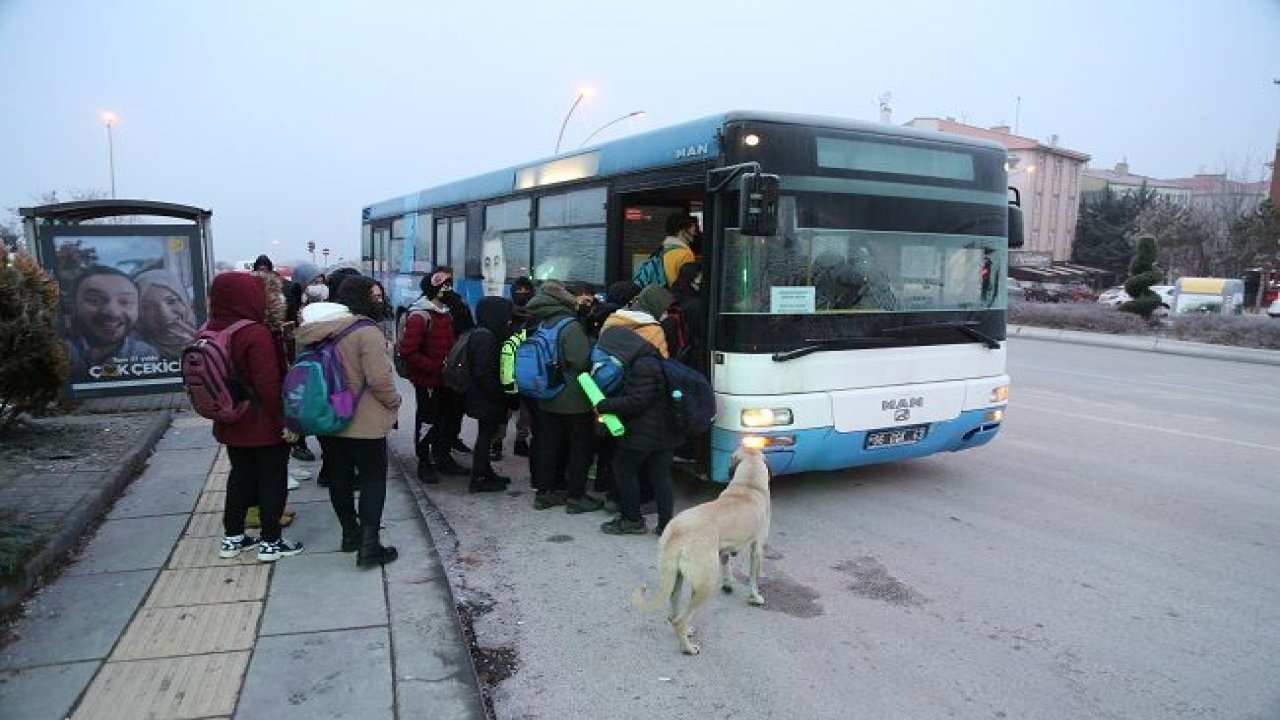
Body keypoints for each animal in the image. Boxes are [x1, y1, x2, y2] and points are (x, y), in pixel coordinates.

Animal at [632, 440, 768, 653]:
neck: (748, 484)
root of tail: (678, 531)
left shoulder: (723, 552)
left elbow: (727, 566)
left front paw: (728, 584)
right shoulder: (757, 549)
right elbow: (754, 579)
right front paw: (756, 597)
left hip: (676, 578)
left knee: (673, 615)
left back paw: (685, 632)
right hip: (705, 585)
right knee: (680, 620)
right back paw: (688, 647)